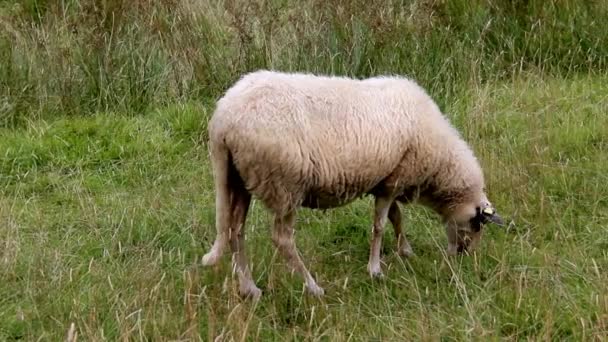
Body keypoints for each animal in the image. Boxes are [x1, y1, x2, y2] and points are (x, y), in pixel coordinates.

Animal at [202, 70, 506, 300]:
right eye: (477, 223)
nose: (464, 256)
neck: (440, 166)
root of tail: (222, 121)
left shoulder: (389, 179)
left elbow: (396, 217)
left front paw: (405, 250)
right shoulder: (394, 181)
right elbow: (379, 226)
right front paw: (375, 269)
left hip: (239, 180)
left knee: (234, 231)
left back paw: (250, 289)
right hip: (284, 185)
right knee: (282, 239)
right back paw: (312, 287)